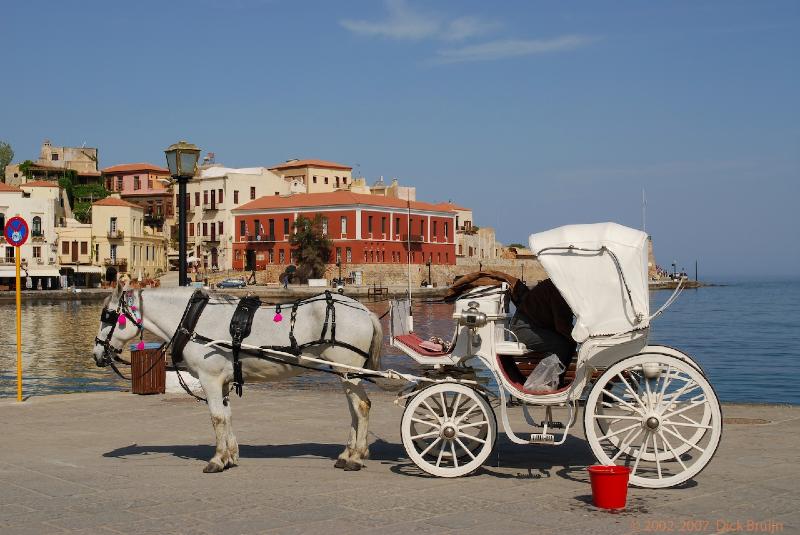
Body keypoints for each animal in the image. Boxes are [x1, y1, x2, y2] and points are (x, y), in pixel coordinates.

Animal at [92, 280, 382, 474]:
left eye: (109, 317)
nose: (97, 354)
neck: (194, 319)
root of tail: (364, 310)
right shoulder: (222, 381)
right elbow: (227, 416)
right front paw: (230, 456)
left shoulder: (209, 379)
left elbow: (217, 418)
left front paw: (217, 459)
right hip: (345, 373)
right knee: (354, 410)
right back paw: (348, 453)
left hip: (348, 372)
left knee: (362, 406)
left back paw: (356, 457)